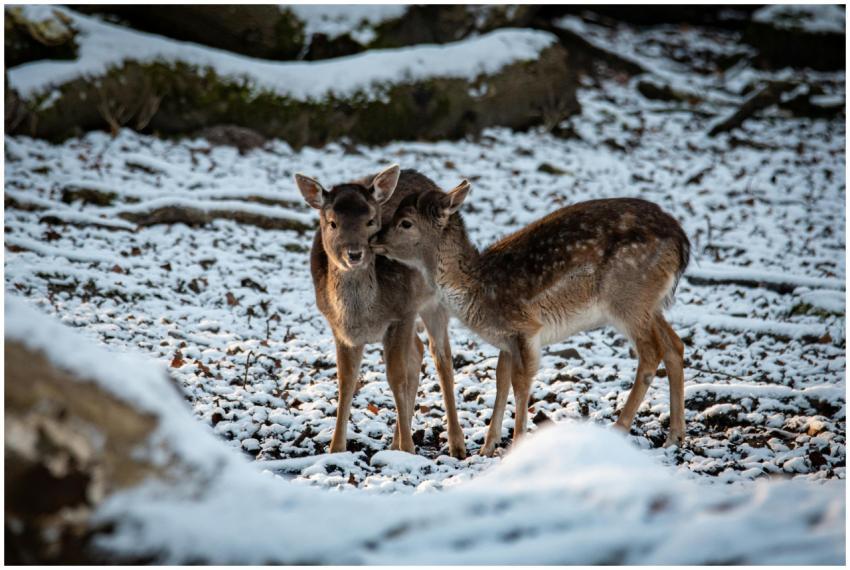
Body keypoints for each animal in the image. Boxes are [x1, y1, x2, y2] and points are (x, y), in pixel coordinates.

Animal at [294, 165, 467, 459]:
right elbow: (346, 382)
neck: (365, 316)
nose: (354, 253)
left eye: (370, 220)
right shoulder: (339, 328)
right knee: (418, 351)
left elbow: (397, 377)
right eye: (332, 223)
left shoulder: (403, 313)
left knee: (441, 357)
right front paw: (335, 448)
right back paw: (394, 442)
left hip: (436, 301)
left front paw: (409, 449)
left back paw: (456, 444)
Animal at [371, 181, 690, 456]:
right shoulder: (507, 338)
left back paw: (620, 427)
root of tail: (682, 244)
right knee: (675, 344)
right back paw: (675, 436)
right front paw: (487, 447)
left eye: (405, 222)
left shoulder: (525, 328)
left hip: (627, 297)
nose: (375, 238)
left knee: (651, 351)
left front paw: (515, 443)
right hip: (649, 303)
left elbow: (521, 382)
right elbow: (501, 379)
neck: (478, 290)